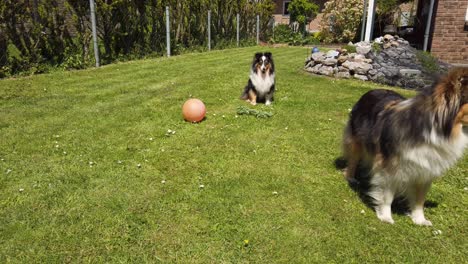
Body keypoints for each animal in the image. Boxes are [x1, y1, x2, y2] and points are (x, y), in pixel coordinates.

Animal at [340, 67, 468, 225]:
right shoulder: (389, 168)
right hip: (356, 140)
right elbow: (387, 195)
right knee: (353, 159)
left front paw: (419, 219)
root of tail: (371, 91)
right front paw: (385, 216)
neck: (433, 128)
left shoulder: (426, 169)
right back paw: (350, 177)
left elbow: (419, 199)